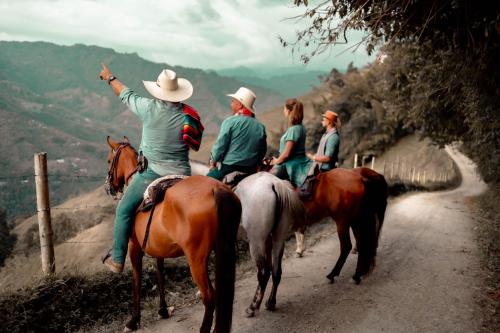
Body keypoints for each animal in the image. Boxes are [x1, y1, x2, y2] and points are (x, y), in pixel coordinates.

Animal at [104, 136, 241, 330]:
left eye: (109, 161)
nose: (109, 187)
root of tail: (217, 190)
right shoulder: (158, 248)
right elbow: (160, 274)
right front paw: (163, 310)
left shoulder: (134, 247)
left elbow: (136, 279)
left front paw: (133, 320)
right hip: (224, 248)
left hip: (196, 258)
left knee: (209, 296)